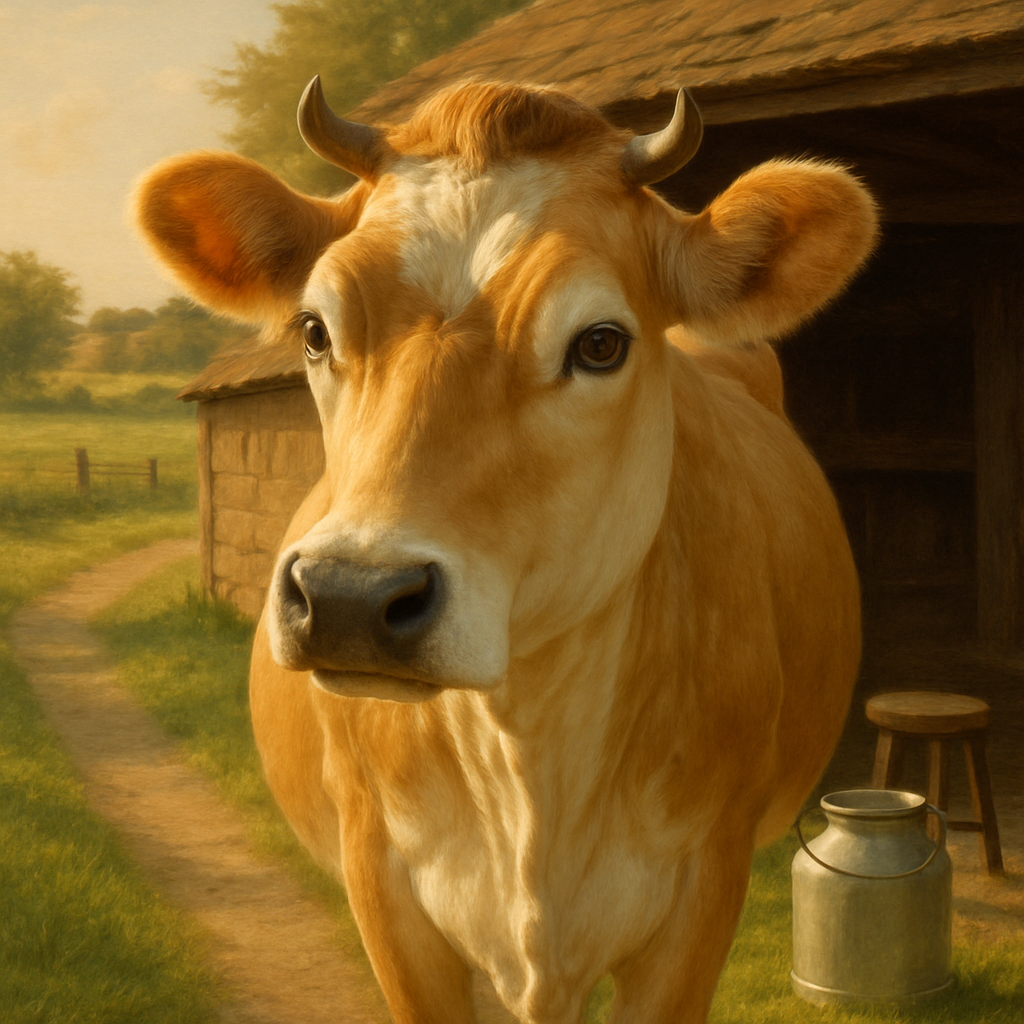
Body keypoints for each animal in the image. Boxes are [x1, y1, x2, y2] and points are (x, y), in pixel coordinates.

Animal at [135, 77, 876, 1024]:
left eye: (600, 342)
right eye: (314, 329)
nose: (348, 596)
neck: (529, 749)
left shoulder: (705, 888)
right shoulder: (386, 886)